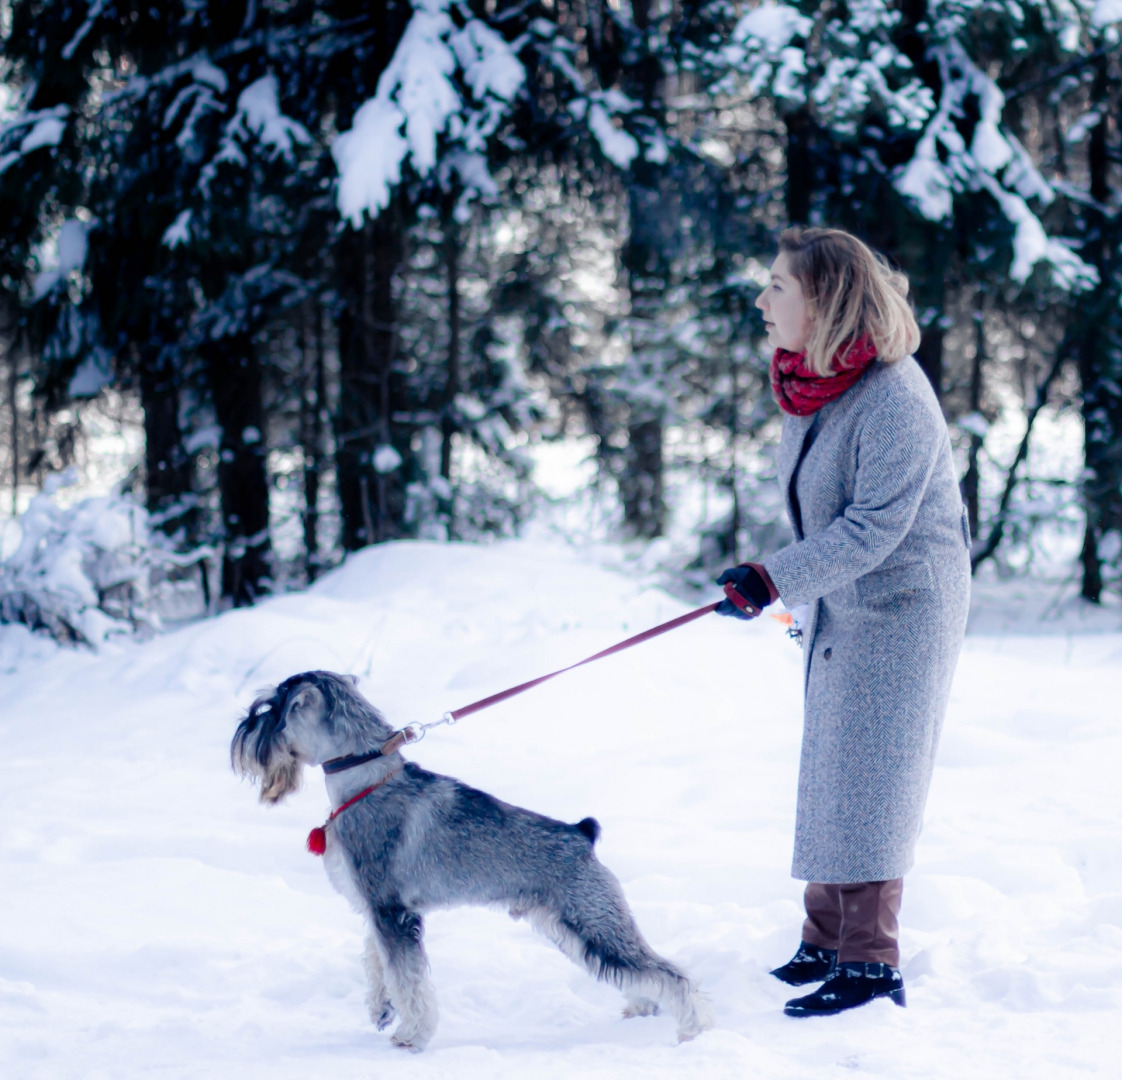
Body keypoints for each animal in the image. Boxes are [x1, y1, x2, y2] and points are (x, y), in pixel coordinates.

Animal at [230, 672, 709, 1049]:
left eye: (270, 708)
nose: (241, 734)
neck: (364, 775)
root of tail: (583, 834)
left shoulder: (391, 912)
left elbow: (409, 980)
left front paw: (411, 1035)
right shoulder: (380, 909)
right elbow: (378, 962)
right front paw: (381, 1009)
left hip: (593, 920)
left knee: (668, 974)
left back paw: (694, 1029)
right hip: (575, 928)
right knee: (638, 974)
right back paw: (642, 1009)